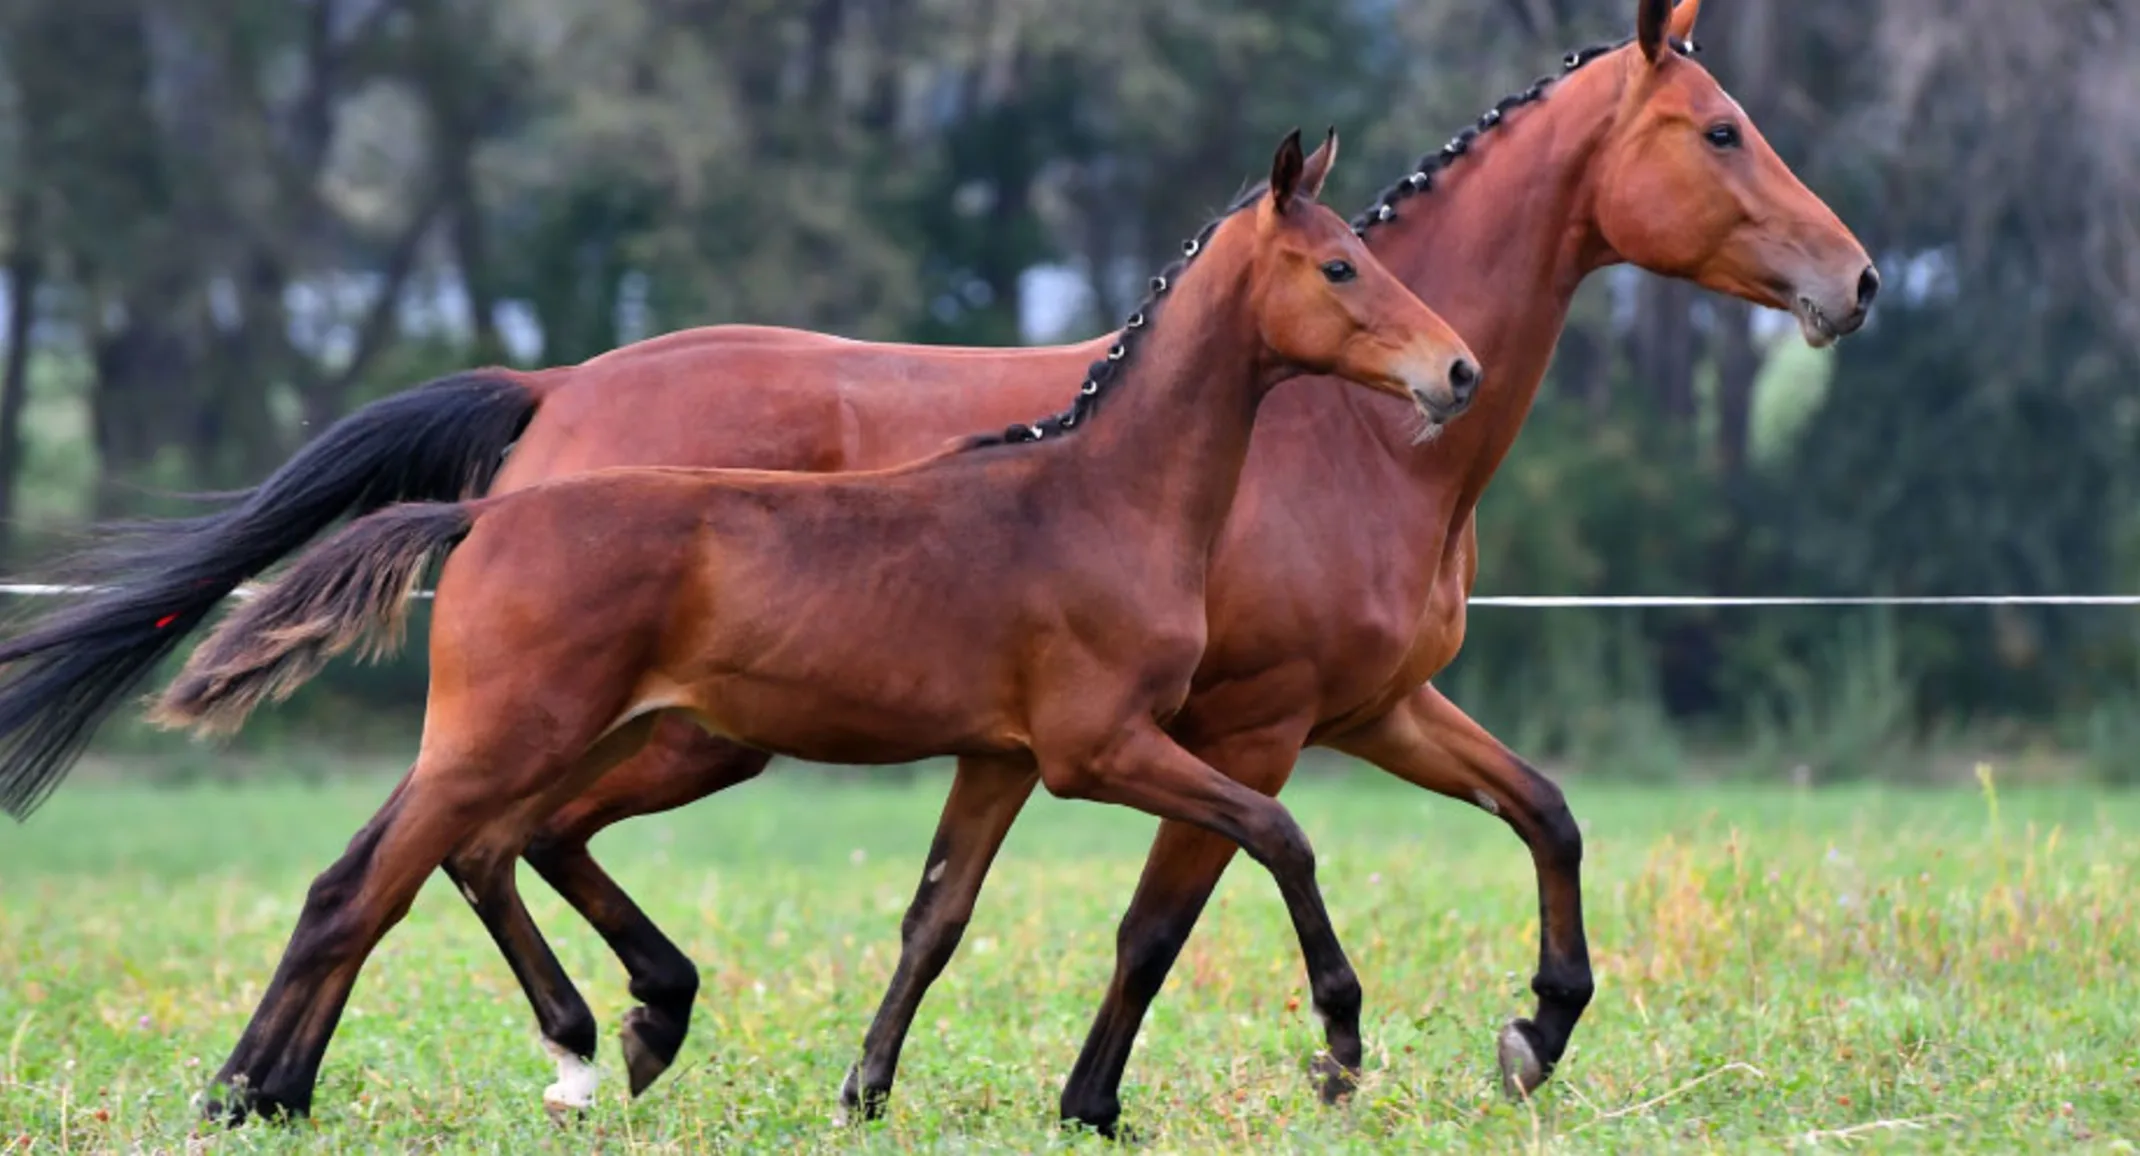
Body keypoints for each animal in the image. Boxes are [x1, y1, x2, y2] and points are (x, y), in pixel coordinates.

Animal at [146, 131, 1489, 1121]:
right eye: (1338, 267)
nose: (1457, 371)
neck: (1102, 494)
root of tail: (485, 510)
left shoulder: (1000, 758)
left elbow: (937, 913)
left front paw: (865, 1092)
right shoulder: (1099, 750)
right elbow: (1279, 834)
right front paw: (1339, 1044)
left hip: (555, 741)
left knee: (440, 863)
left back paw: (317, 1081)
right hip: (504, 739)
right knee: (359, 886)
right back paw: (245, 1093)